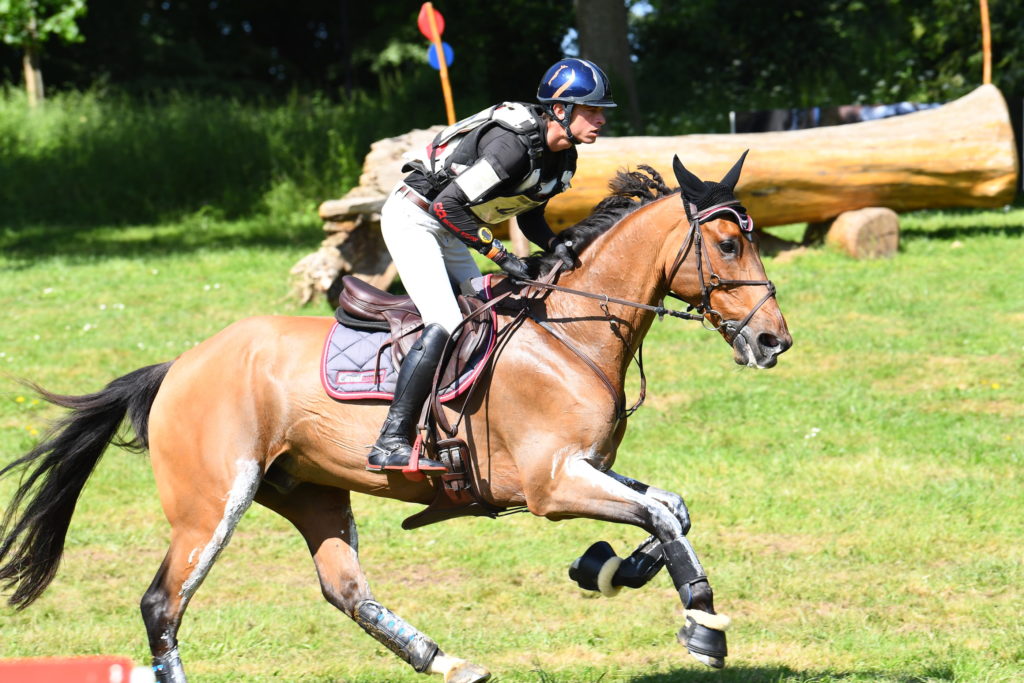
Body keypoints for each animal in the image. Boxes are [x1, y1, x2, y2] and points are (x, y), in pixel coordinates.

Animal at [0, 156, 790, 683]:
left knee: (345, 590)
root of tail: (178, 366)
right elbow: (660, 517)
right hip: (211, 503)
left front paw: (608, 568)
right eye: (727, 244)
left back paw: (446, 660)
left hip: (310, 491)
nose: (773, 339)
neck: (569, 333)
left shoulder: (585, 468)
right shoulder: (551, 483)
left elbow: (670, 510)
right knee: (162, 604)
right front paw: (701, 624)